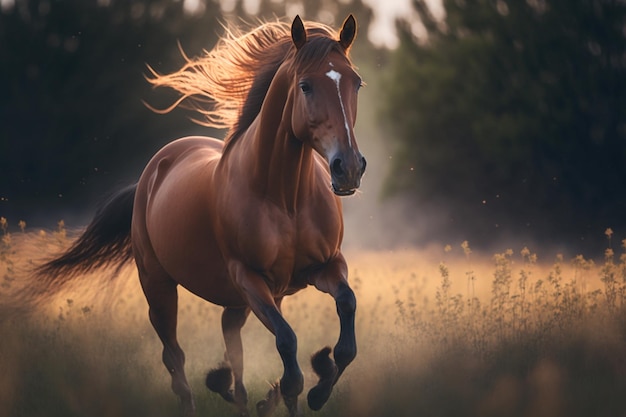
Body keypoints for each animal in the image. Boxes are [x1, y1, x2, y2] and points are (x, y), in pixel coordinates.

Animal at [35, 13, 366, 416]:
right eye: (305, 86)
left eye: (356, 83)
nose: (349, 168)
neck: (286, 198)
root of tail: (156, 167)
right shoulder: (249, 278)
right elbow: (288, 350)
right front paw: (305, 387)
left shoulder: (324, 266)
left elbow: (346, 321)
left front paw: (318, 385)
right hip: (159, 286)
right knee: (175, 357)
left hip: (249, 299)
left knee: (231, 344)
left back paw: (241, 395)